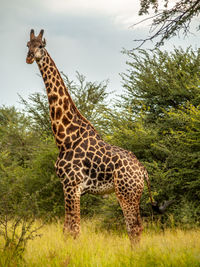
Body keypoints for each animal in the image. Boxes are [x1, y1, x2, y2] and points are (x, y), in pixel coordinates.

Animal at [25, 29, 156, 245]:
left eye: (41, 46)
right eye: (28, 44)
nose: (29, 57)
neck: (65, 137)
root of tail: (143, 172)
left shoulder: (72, 185)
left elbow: (74, 230)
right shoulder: (67, 186)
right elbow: (67, 229)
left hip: (126, 193)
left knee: (134, 228)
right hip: (132, 194)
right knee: (135, 228)